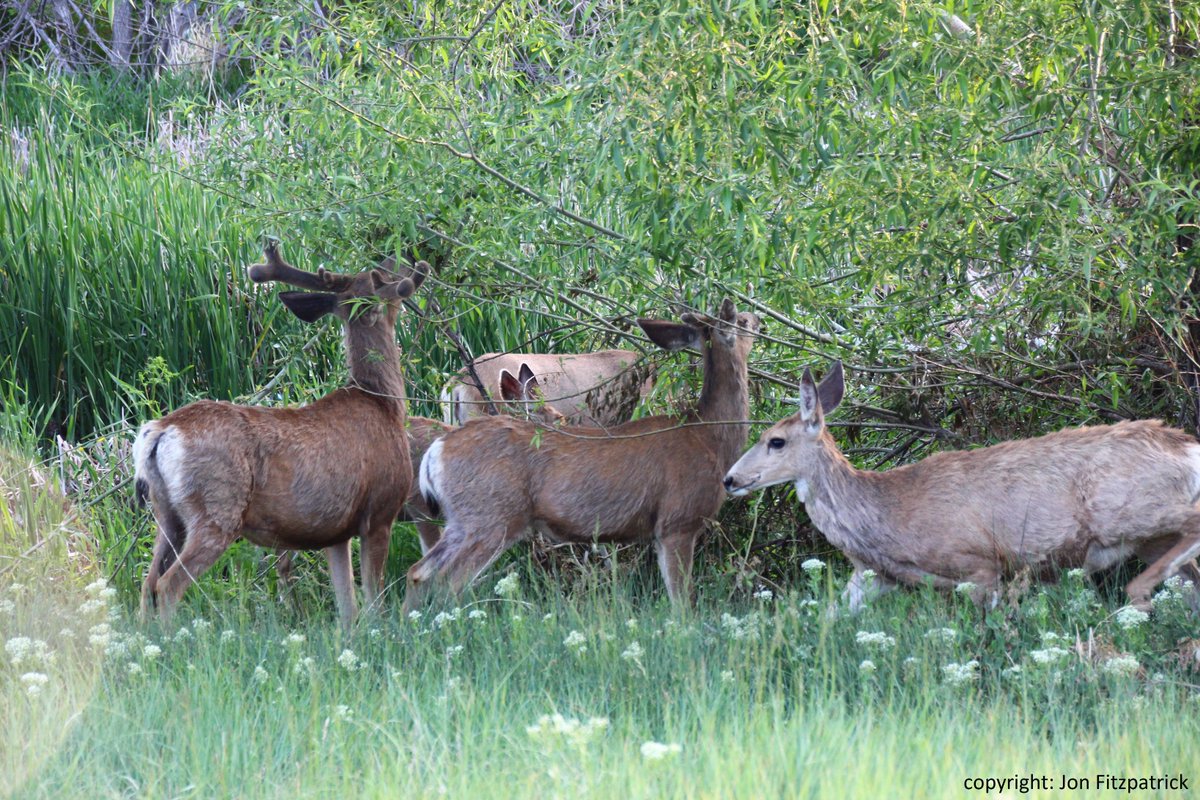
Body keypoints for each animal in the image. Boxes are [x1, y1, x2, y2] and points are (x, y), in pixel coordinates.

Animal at [133, 241, 426, 628]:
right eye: (386, 278)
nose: (403, 256)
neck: (383, 404)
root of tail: (161, 431)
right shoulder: (379, 510)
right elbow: (373, 601)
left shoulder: (336, 532)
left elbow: (347, 607)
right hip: (216, 508)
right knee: (168, 584)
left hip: (166, 513)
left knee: (146, 583)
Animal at [723, 361, 1200, 614]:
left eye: (776, 441)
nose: (730, 480)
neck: (886, 514)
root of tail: (1186, 447)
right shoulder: (873, 576)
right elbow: (828, 617)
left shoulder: (979, 563)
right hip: (1149, 537)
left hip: (1128, 511)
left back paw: (1138, 596)